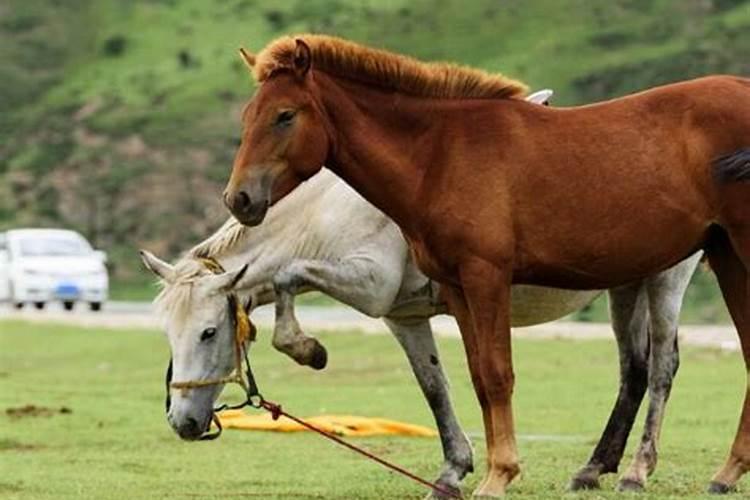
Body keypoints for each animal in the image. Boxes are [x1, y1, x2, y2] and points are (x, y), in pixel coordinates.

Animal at [223, 34, 750, 496]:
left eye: (285, 115)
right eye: (248, 116)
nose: (239, 199)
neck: (441, 155)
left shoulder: (486, 278)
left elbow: (498, 375)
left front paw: (499, 475)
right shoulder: (456, 289)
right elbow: (476, 377)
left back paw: (642, 473)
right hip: (715, 262)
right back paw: (721, 473)